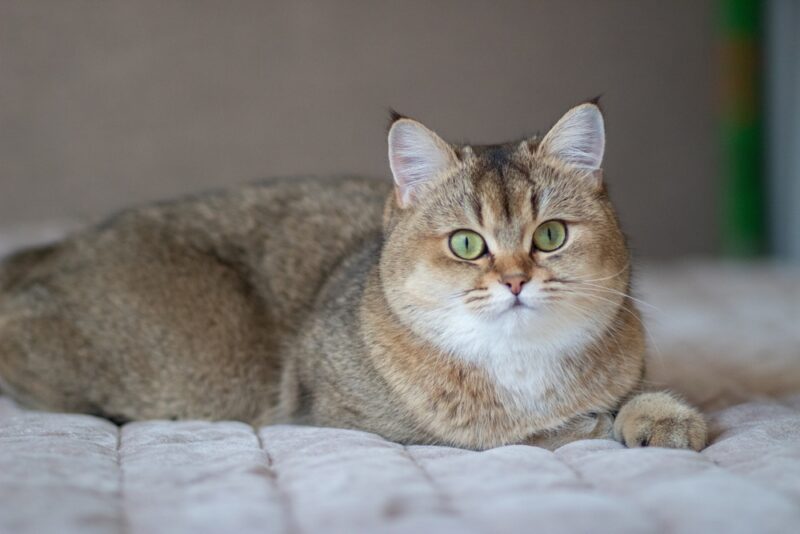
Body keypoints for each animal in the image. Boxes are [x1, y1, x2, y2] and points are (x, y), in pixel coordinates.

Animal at [0, 103, 708, 452]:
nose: (514, 281)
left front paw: (658, 414)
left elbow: (617, 403)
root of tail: (57, 247)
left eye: (551, 236)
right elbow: (552, 432)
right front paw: (606, 422)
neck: (519, 366)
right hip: (204, 364)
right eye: (467, 244)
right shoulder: (363, 419)